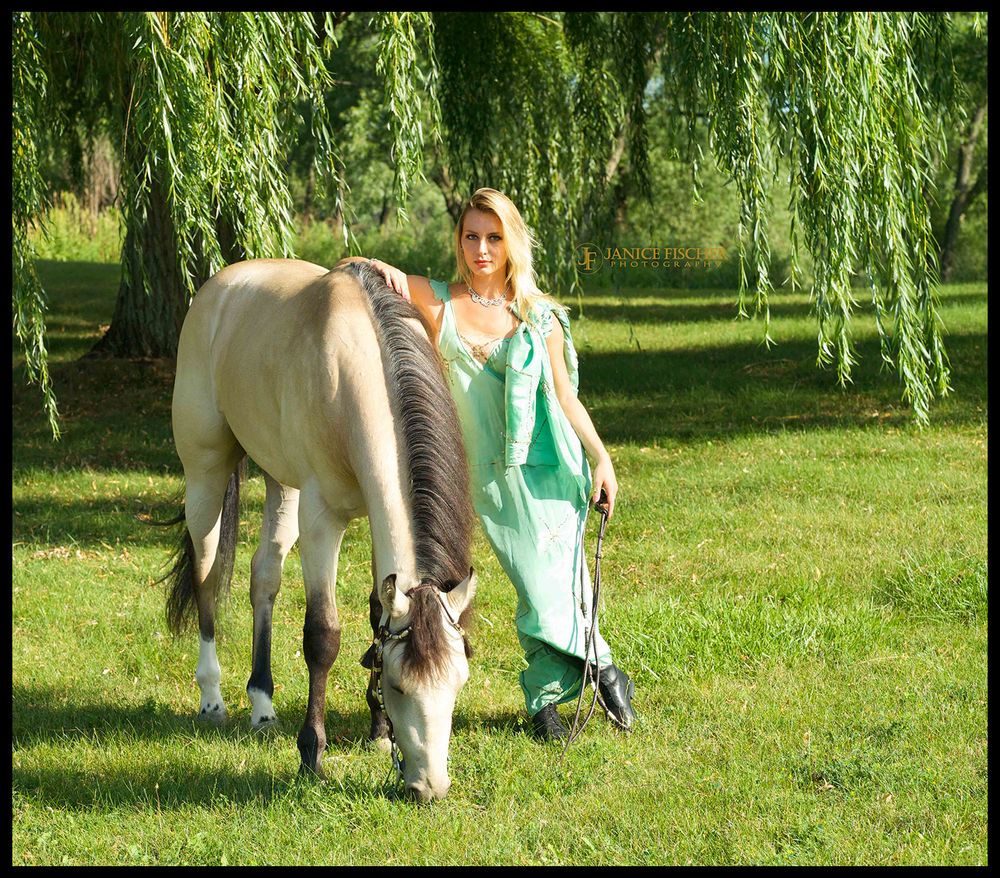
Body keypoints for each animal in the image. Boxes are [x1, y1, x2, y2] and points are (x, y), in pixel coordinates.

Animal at [163, 258, 477, 802]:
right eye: (400, 686)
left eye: (457, 683)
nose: (430, 788)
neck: (356, 368)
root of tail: (220, 285)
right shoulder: (320, 521)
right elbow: (322, 636)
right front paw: (312, 753)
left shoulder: (374, 513)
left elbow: (375, 614)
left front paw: (378, 732)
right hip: (205, 473)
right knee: (206, 574)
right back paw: (212, 697)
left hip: (280, 482)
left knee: (263, 577)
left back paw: (262, 705)